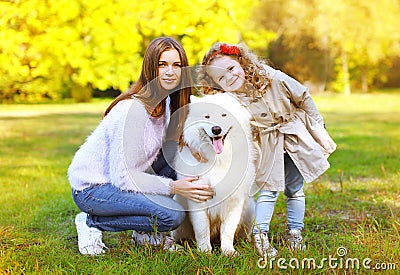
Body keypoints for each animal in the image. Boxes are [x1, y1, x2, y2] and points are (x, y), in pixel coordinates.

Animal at [172, 94, 256, 258]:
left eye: (224, 115)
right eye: (207, 116)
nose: (216, 129)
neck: (218, 160)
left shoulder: (234, 202)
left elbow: (228, 231)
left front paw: (228, 251)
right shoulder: (198, 201)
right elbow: (202, 230)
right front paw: (205, 252)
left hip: (250, 210)